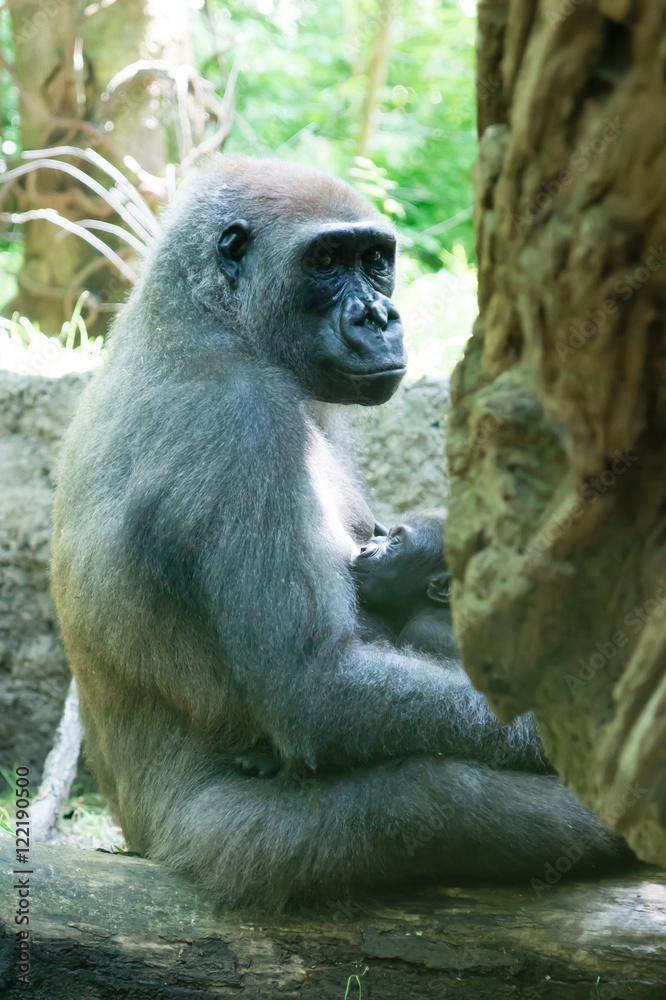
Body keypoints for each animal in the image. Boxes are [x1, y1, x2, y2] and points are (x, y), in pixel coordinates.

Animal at [51, 155, 633, 911]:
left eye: (376, 261)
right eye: (326, 262)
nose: (380, 316)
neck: (207, 316)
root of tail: (143, 841)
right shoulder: (240, 419)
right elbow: (316, 685)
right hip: (216, 841)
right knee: (428, 799)